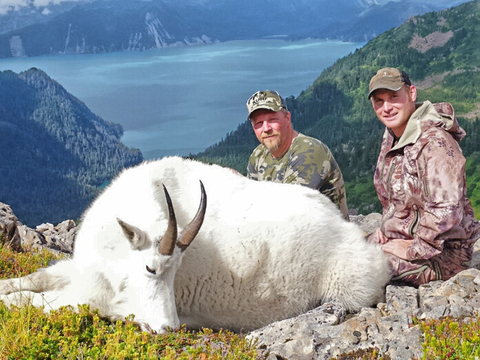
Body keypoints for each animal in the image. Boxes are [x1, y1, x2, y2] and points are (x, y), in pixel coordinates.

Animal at [0, 156, 390, 334]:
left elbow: (39, 301)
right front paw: (6, 285)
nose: (170, 327)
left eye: (177, 274)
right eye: (150, 268)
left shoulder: (99, 299)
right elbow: (36, 279)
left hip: (349, 284)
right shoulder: (82, 271)